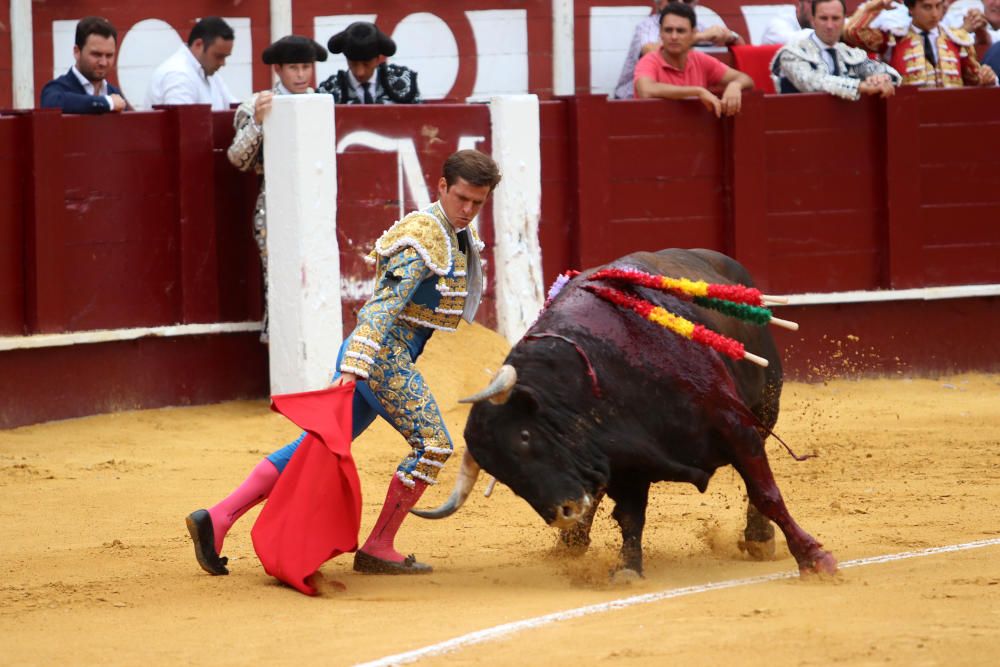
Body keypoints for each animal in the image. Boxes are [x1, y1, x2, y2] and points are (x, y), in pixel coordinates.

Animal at [412, 248, 836, 576]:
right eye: (501, 474)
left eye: (525, 436)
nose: (562, 512)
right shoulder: (625, 462)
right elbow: (630, 515)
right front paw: (627, 569)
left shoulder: (735, 428)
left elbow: (766, 493)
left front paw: (815, 559)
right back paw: (572, 541)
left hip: (766, 405)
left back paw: (759, 539)